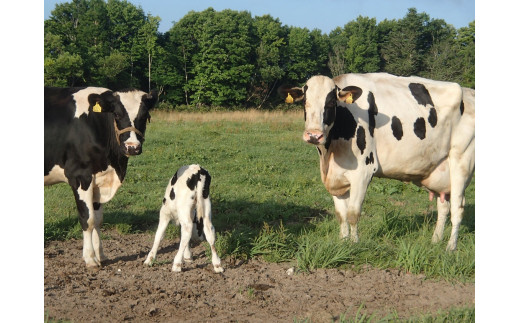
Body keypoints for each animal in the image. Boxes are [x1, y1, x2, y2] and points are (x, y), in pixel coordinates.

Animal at [43, 86, 157, 268]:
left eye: (145, 115)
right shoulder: (80, 176)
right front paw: (90, 259)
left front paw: (101, 255)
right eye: (116, 114)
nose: (132, 147)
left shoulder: (99, 180)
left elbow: (97, 219)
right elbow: (87, 219)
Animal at [280, 74, 476, 253]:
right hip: (441, 170)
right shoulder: (335, 176)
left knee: (457, 209)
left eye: (331, 103)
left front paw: (354, 244)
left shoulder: (363, 172)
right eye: (305, 102)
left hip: (461, 160)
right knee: (443, 207)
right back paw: (435, 241)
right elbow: (341, 215)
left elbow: (353, 213)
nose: (314, 135)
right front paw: (343, 243)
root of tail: (469, 92)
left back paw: (450, 247)